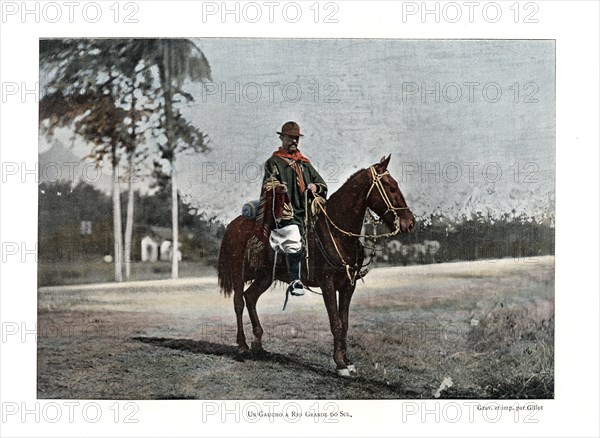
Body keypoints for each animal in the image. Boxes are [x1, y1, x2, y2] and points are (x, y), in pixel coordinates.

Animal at [218, 157, 414, 376]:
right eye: (391, 187)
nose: (409, 222)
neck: (337, 233)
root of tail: (234, 225)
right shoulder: (327, 284)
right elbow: (335, 323)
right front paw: (340, 364)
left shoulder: (348, 286)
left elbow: (344, 323)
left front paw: (348, 361)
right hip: (238, 272)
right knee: (238, 302)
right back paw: (243, 345)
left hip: (265, 277)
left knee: (250, 297)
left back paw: (258, 344)